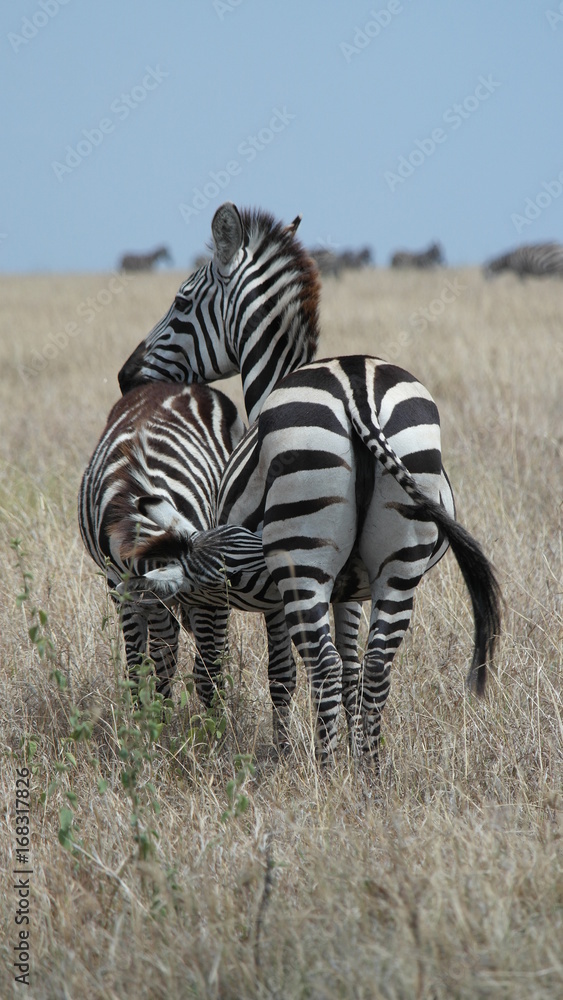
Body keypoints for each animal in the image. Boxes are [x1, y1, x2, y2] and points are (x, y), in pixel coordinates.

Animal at [117, 202, 501, 761]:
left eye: (182, 301)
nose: (126, 377)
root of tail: (357, 390)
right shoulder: (352, 590)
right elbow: (354, 671)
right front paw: (352, 753)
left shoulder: (275, 588)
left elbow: (287, 672)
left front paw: (288, 753)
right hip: (400, 561)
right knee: (375, 667)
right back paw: (368, 773)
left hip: (300, 560)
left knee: (321, 664)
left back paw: (323, 774)